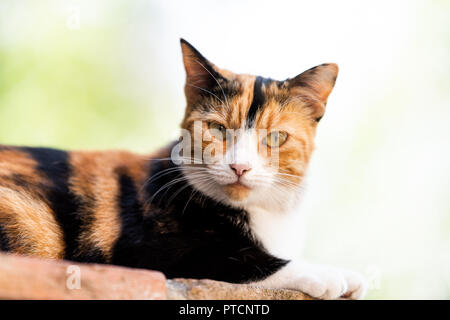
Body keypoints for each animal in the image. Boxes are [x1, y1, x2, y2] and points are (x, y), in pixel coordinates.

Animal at [0, 40, 366, 300]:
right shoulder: (145, 248)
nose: (240, 166)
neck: (261, 213)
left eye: (277, 137)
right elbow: (239, 259)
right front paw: (329, 274)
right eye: (217, 129)